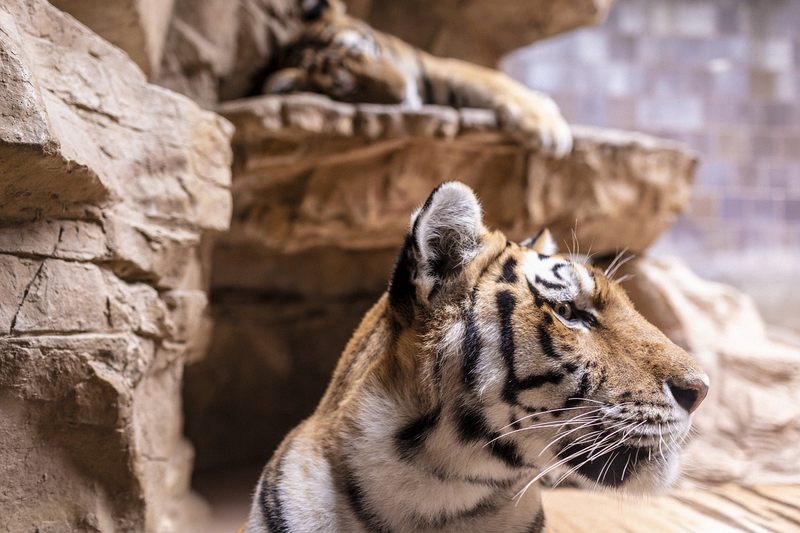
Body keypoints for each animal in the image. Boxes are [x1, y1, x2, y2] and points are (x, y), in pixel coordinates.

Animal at [261, 0, 573, 156]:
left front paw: (551, 131)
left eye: (369, 52)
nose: (404, 91)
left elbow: (495, 81)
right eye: (349, 89)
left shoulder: (437, 67)